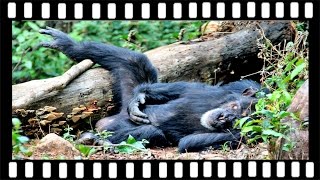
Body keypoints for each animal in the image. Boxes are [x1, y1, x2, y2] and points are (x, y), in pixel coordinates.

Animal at [38, 26, 264, 153]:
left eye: (237, 122)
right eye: (234, 108)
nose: (225, 117)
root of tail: (111, 118)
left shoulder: (241, 136)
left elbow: (188, 142)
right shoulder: (216, 90)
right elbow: (182, 88)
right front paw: (141, 98)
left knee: (152, 132)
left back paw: (96, 140)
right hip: (126, 98)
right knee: (134, 60)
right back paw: (69, 45)